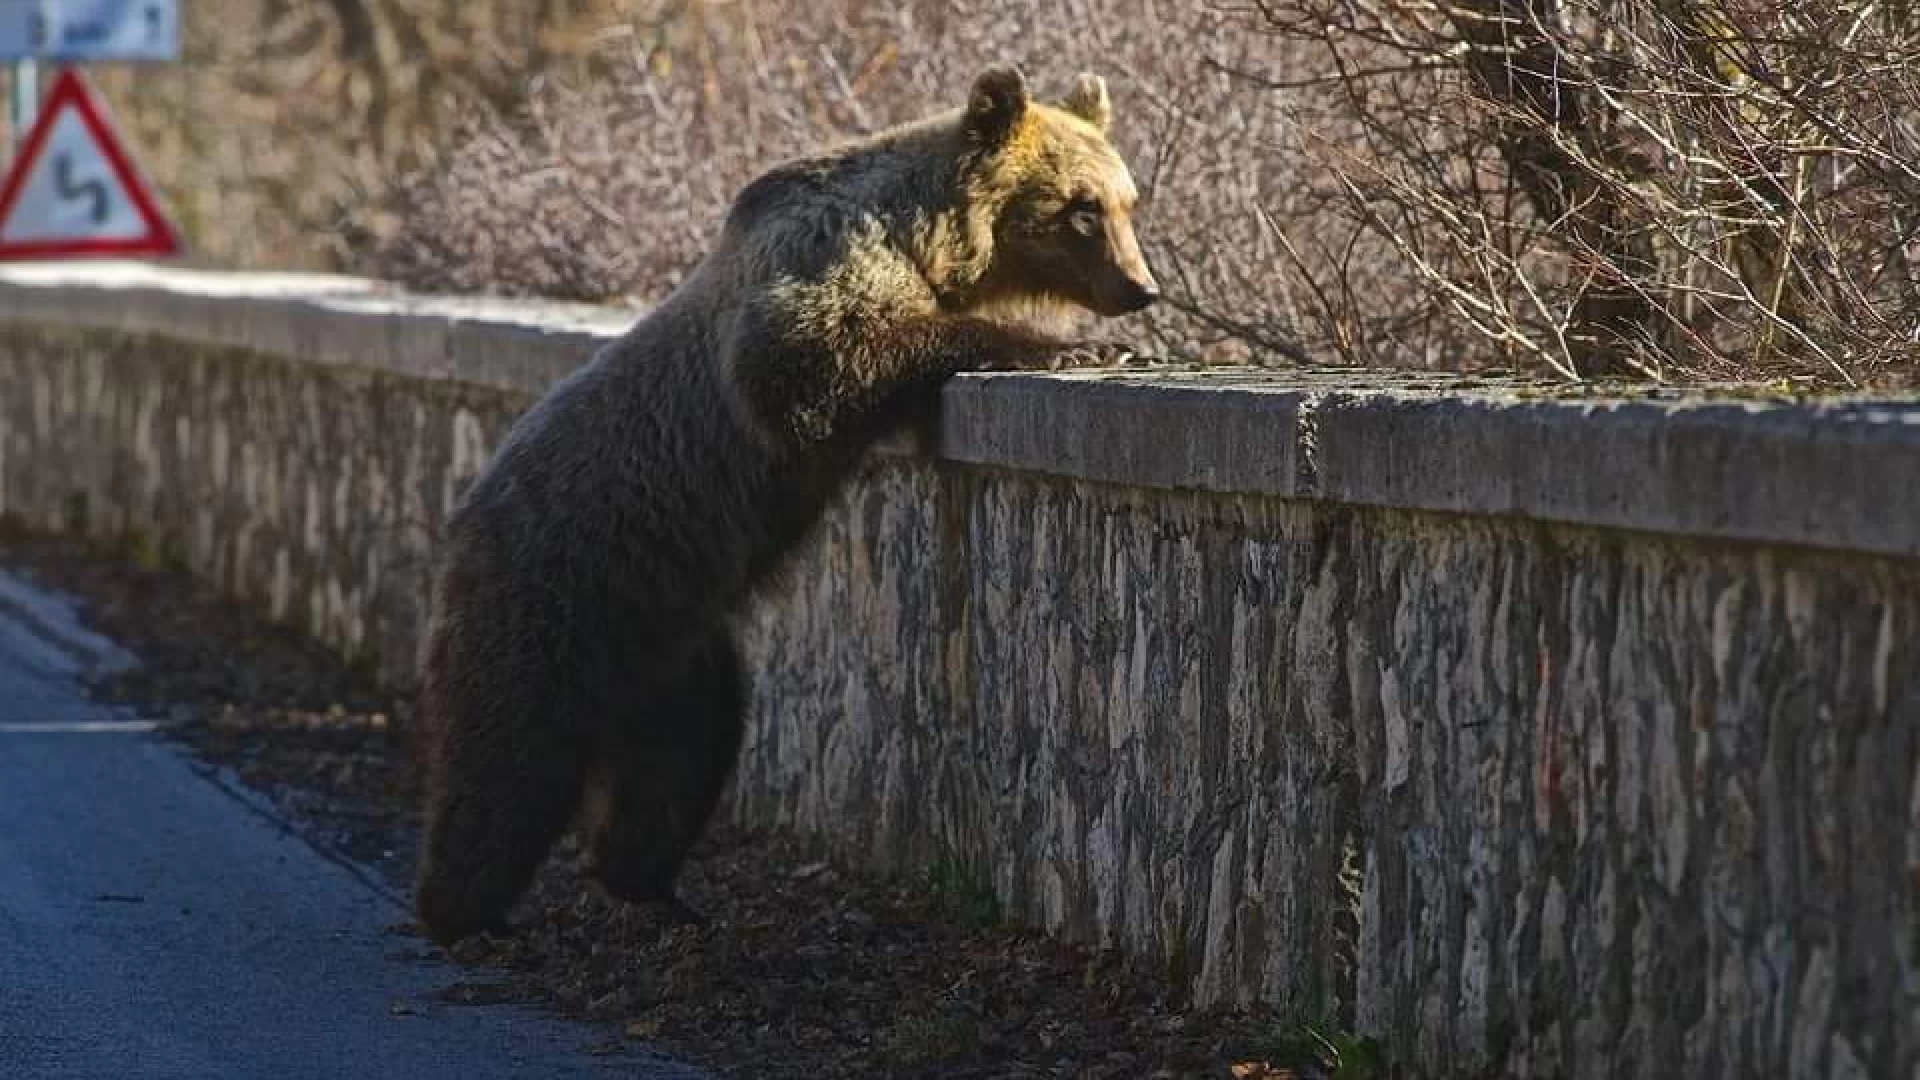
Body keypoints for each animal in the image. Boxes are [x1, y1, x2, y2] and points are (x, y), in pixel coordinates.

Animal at [416, 67, 1152, 941]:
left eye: (1128, 199)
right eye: (1081, 207)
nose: (1141, 289)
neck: (930, 240)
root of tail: (466, 513)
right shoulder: (821, 266)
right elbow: (817, 356)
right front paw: (1075, 346)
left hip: (676, 649)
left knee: (683, 758)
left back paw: (654, 887)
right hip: (557, 587)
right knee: (508, 752)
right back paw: (463, 907)